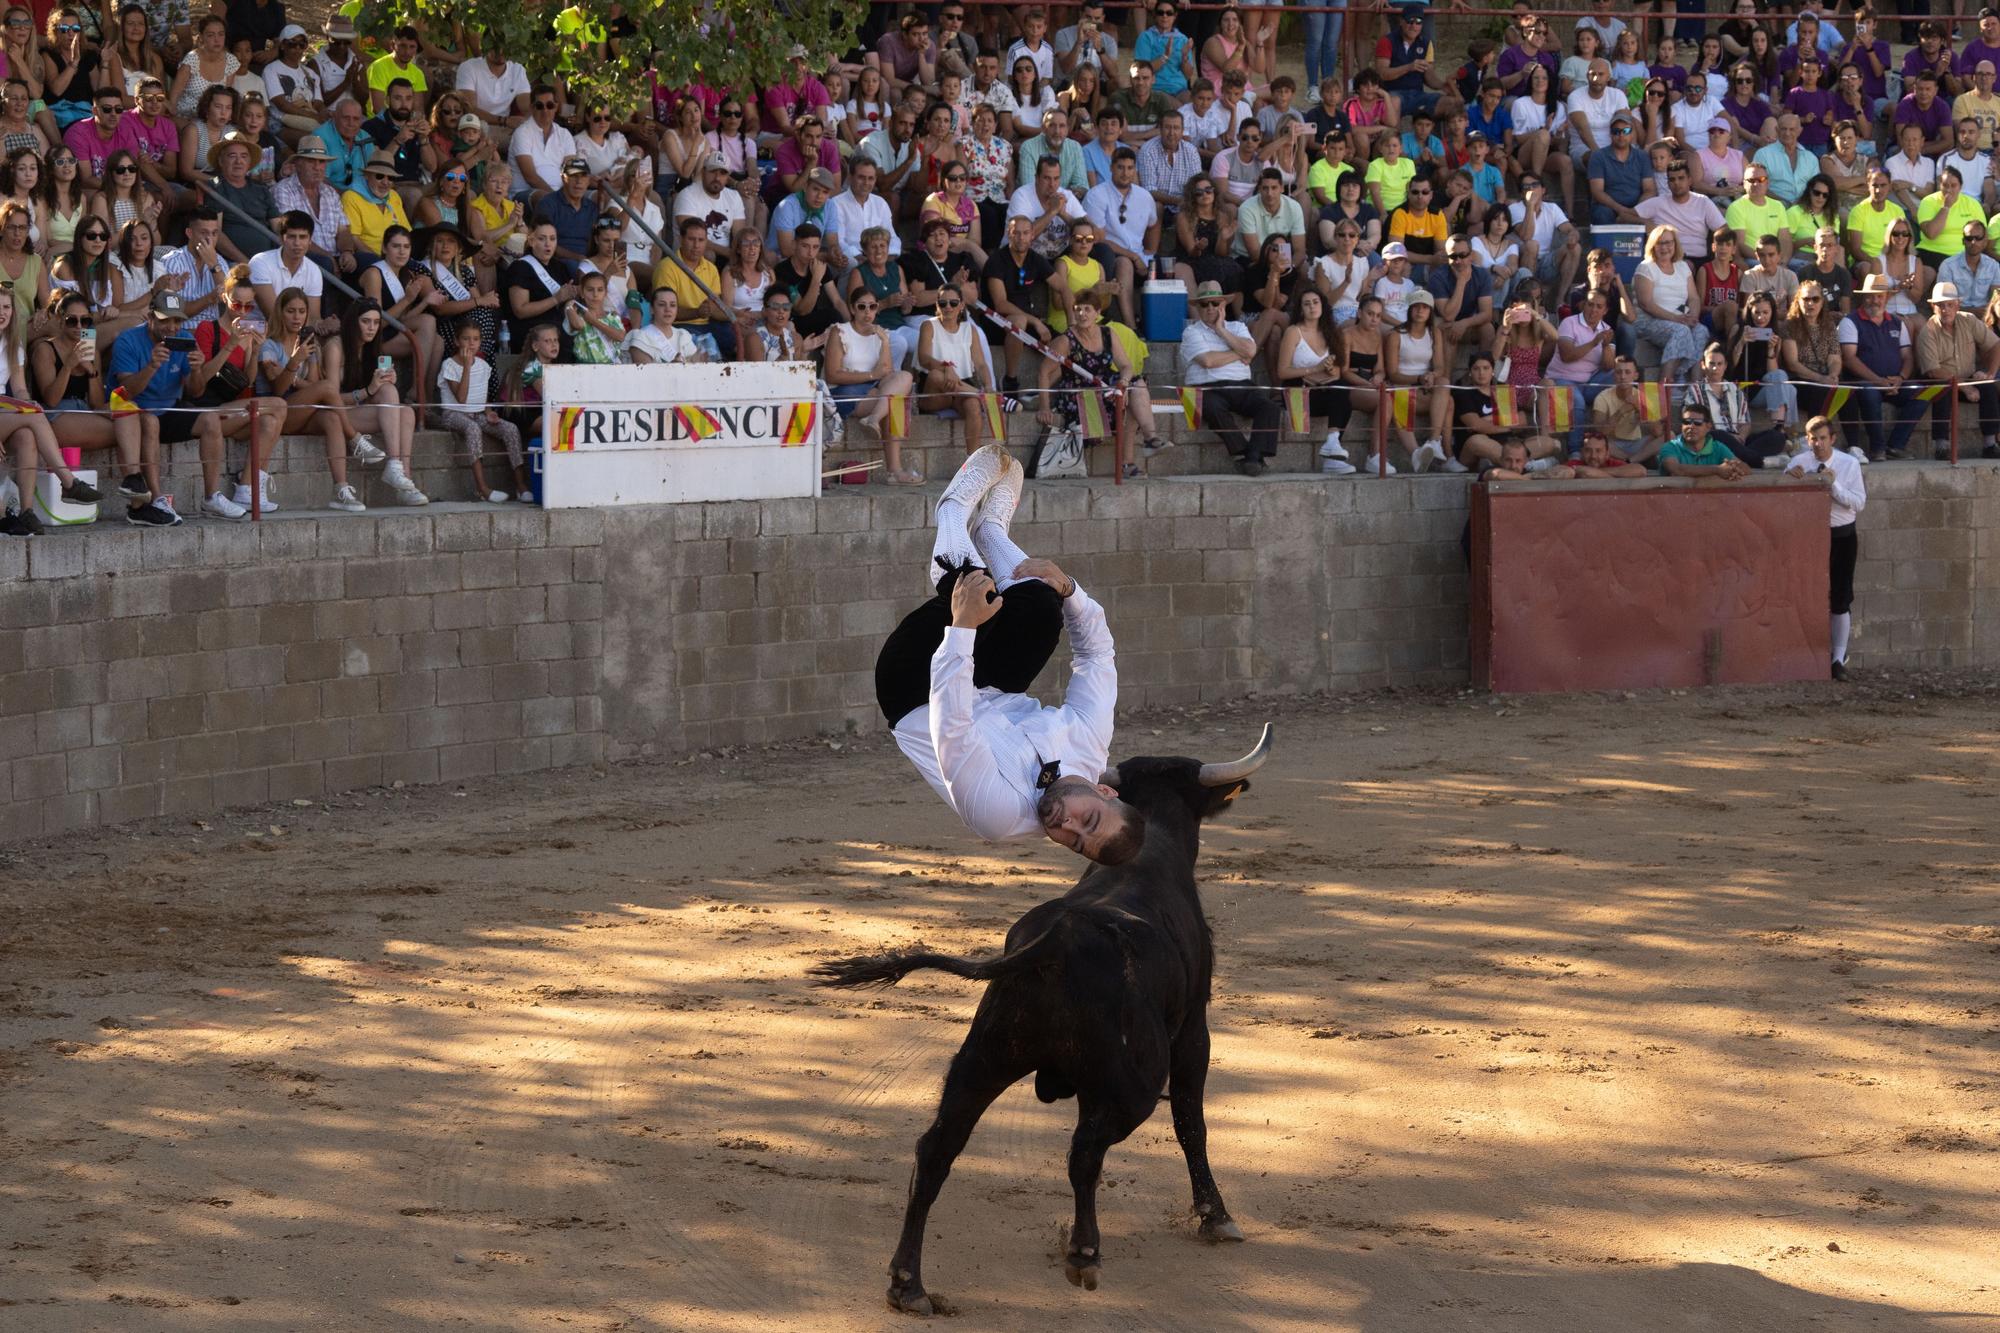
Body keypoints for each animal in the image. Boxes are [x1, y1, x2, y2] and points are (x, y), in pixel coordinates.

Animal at [808, 728, 1264, 1304]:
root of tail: (1058, 942)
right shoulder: (1193, 1030)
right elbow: (1191, 1121)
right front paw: (1215, 1216)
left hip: (985, 1054)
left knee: (937, 1148)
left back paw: (908, 1283)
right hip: (1131, 1083)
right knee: (1084, 1151)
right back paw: (1084, 1253)